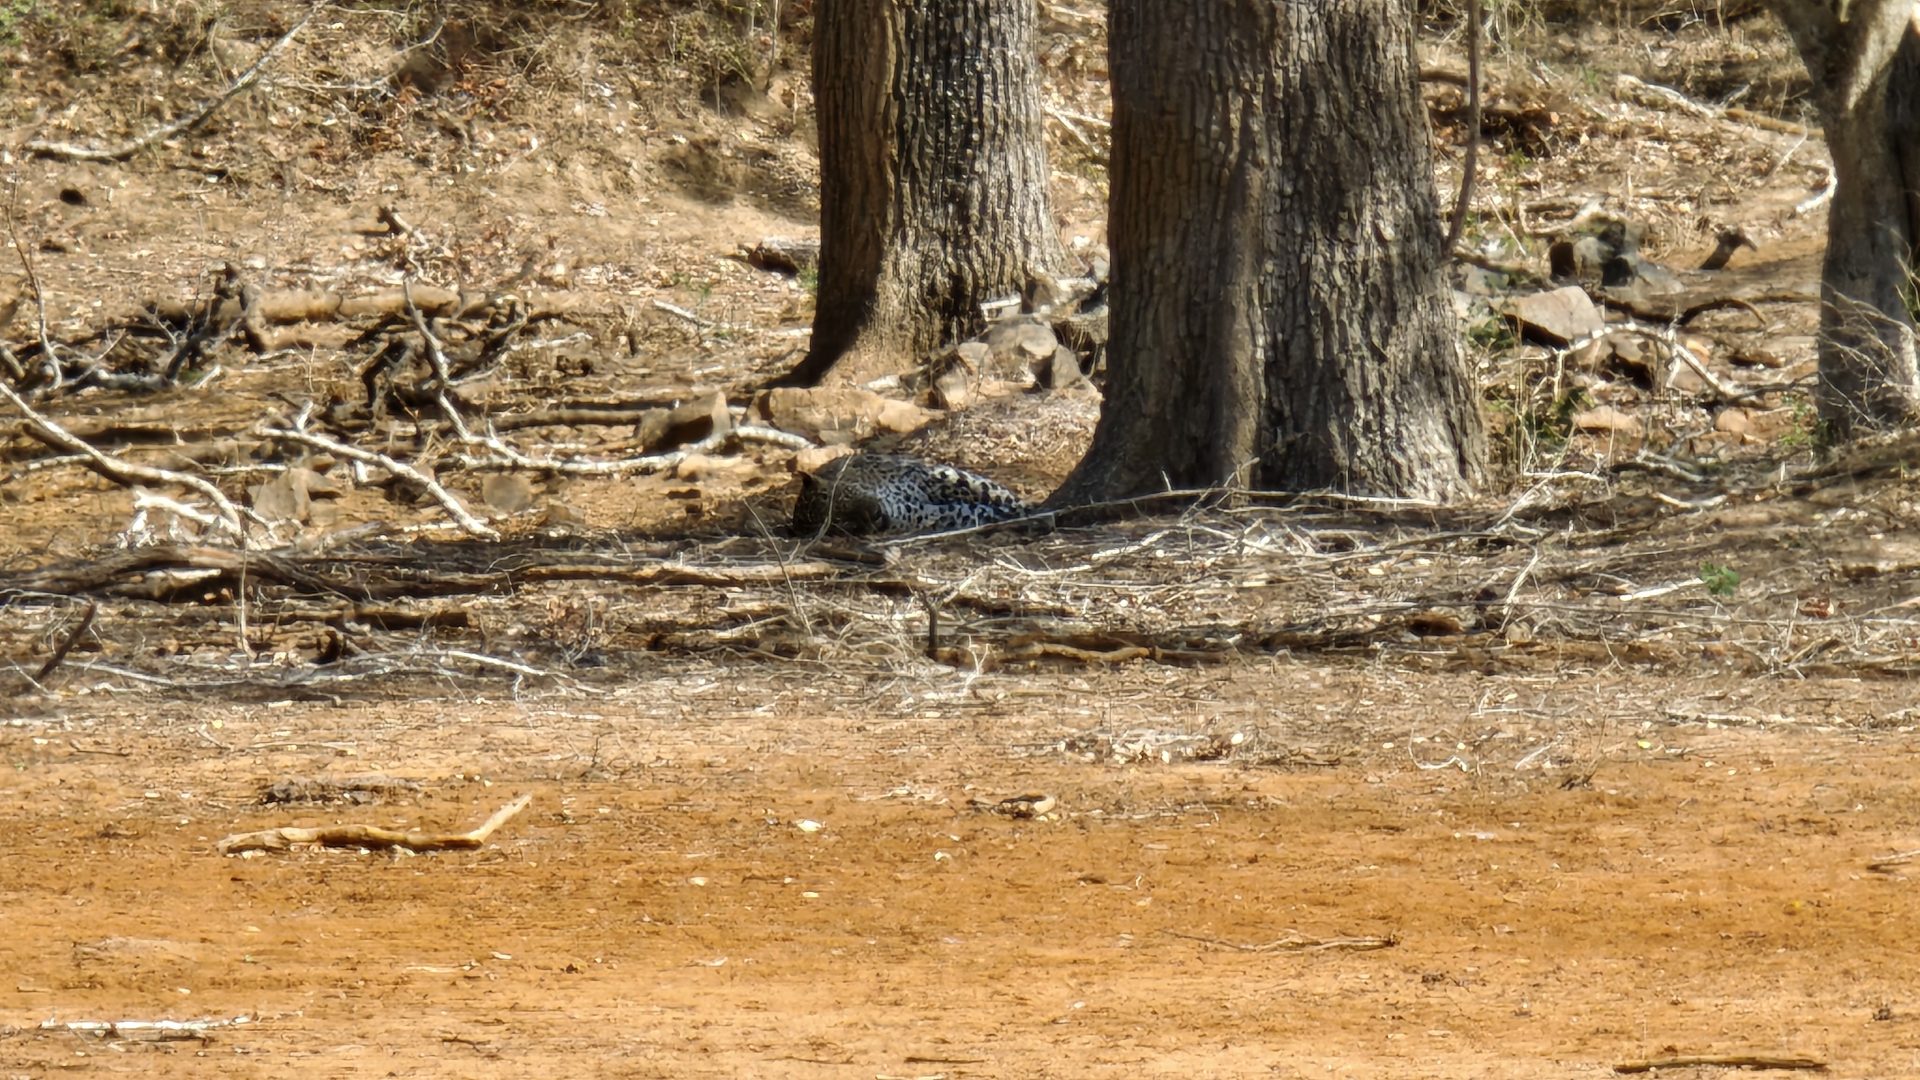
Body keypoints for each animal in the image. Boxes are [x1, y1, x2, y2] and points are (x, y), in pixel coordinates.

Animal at [789, 453, 1034, 537]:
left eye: (841, 497)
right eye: (839, 525)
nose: (873, 514)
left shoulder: (930, 475)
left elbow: (983, 490)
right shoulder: (929, 515)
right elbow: (976, 512)